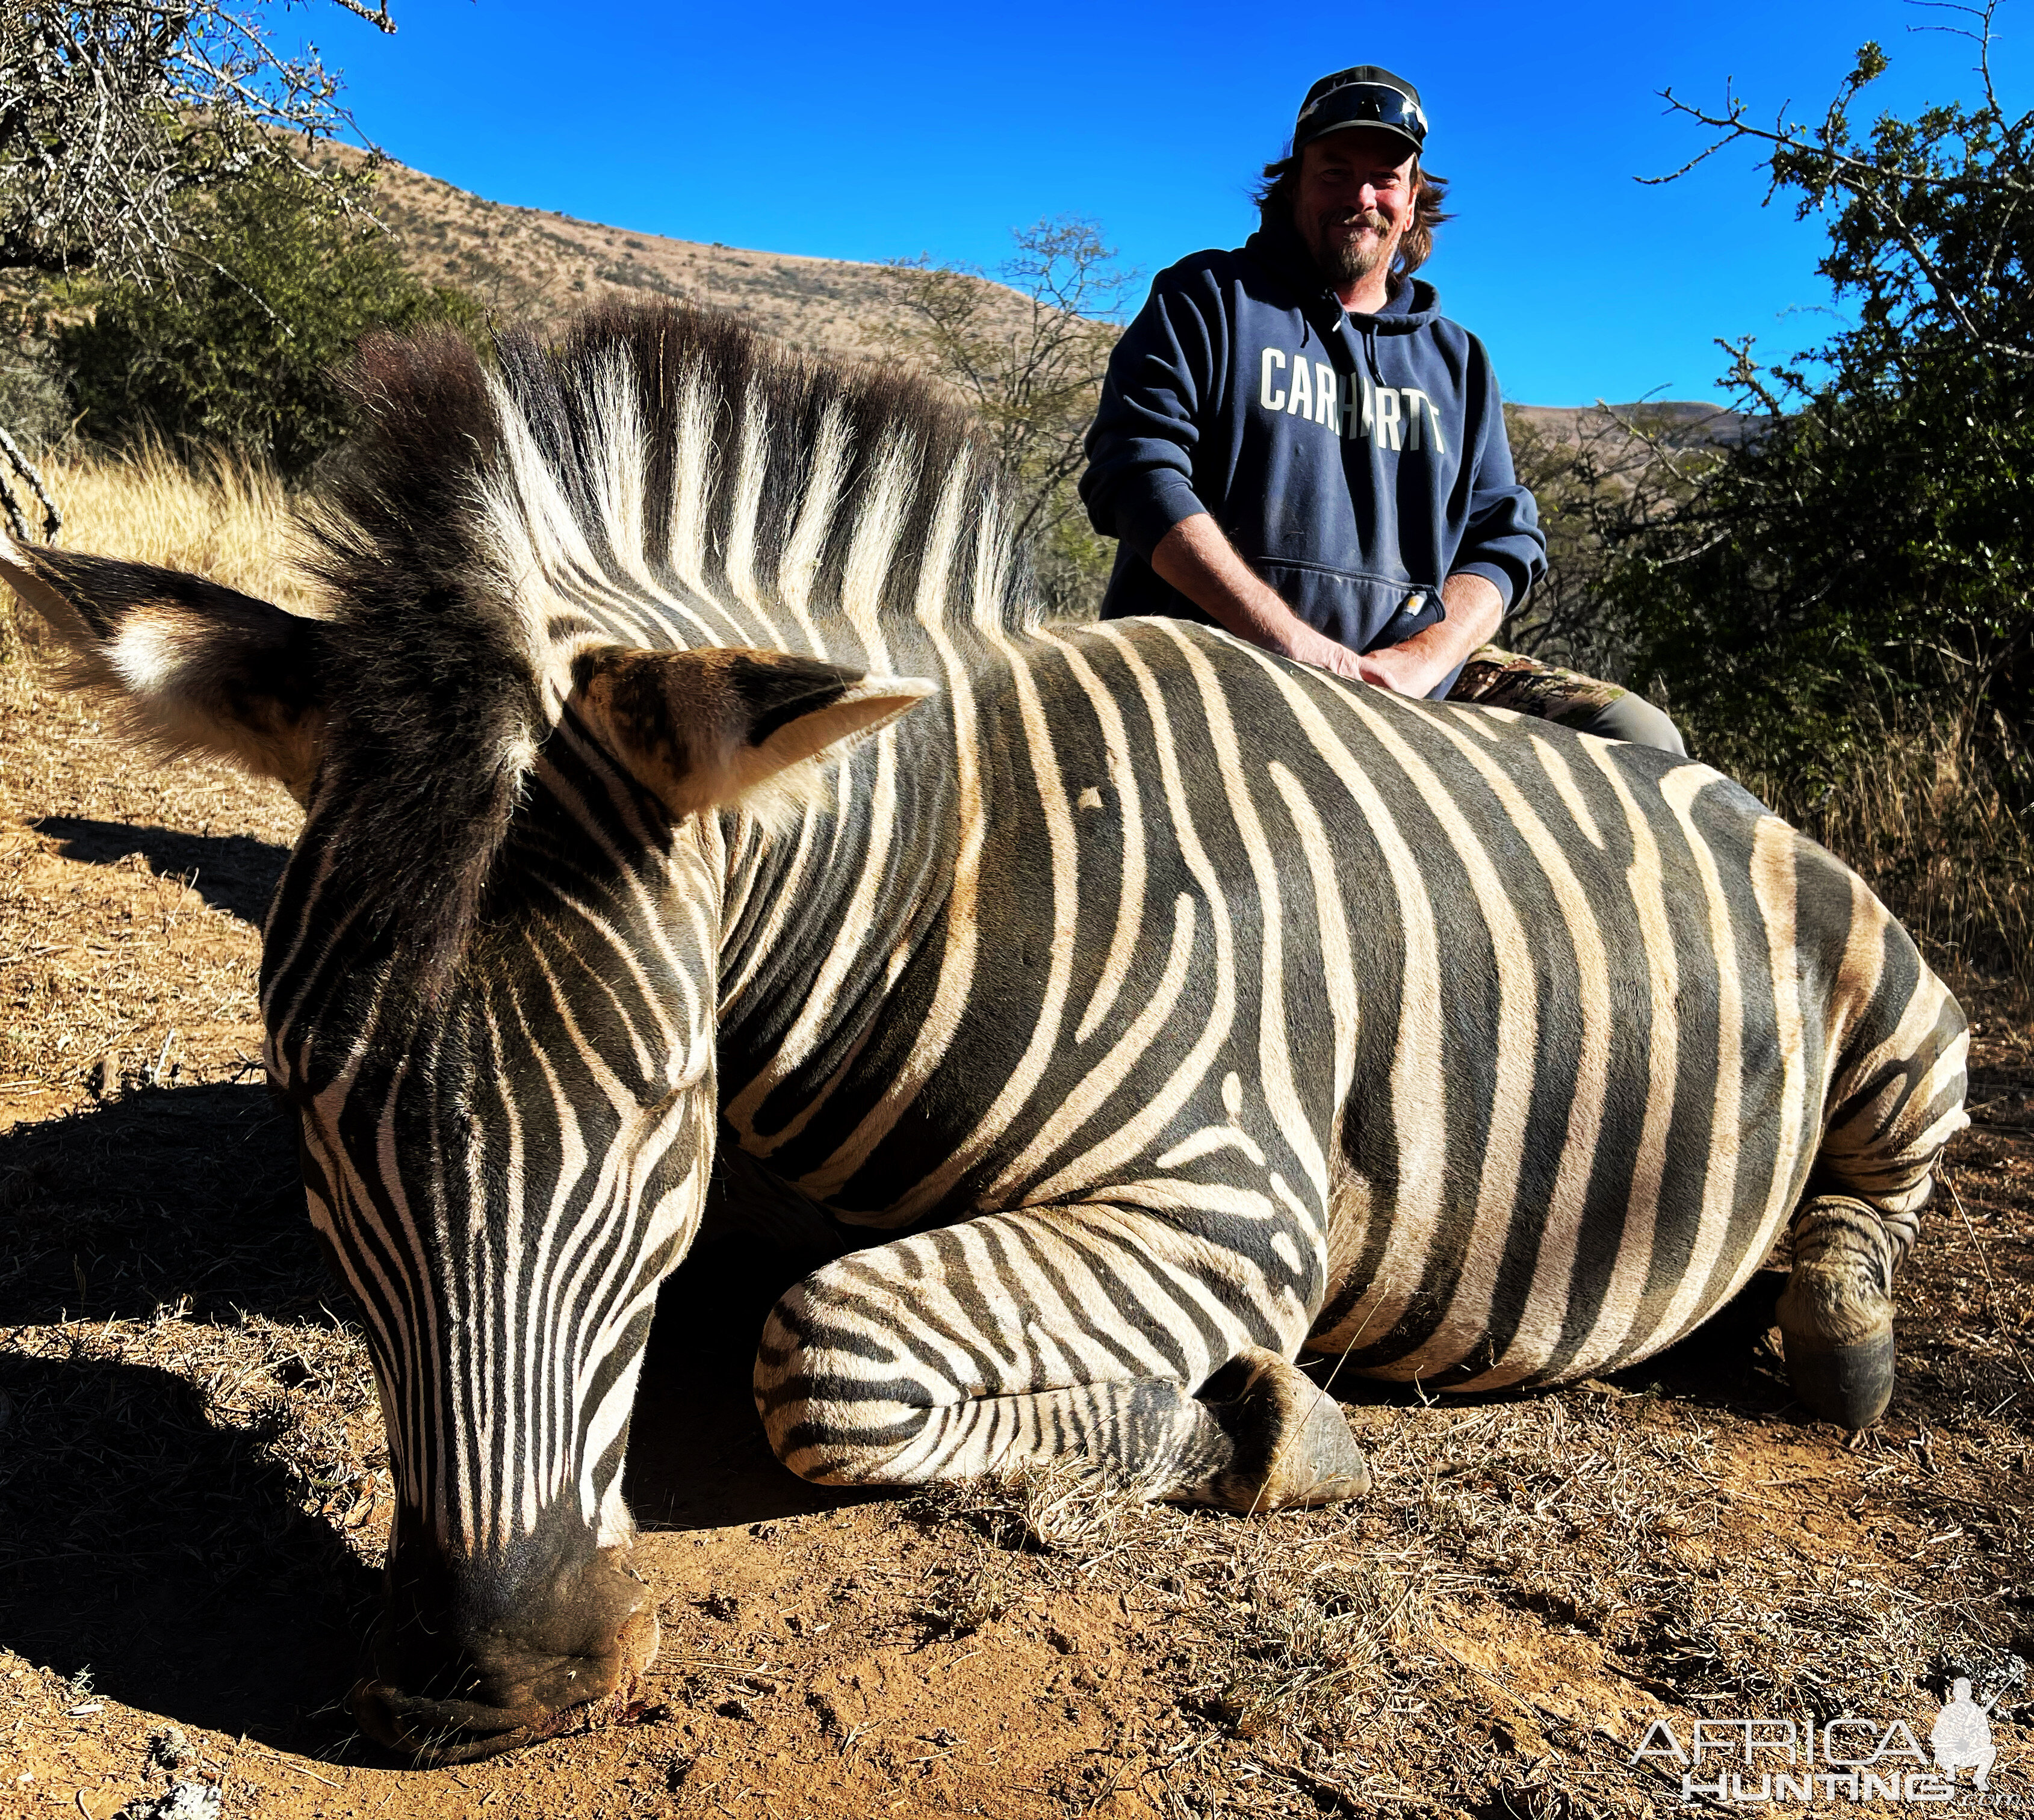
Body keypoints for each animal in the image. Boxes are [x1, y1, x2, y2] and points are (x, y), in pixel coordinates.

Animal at [0, 303, 1968, 1765]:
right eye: (308, 1111)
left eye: (656, 1109)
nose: (496, 1685)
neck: (924, 884)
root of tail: (1713, 773)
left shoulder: (1230, 1206)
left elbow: (822, 1352)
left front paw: (1262, 1430)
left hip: (1897, 1009)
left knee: (1877, 1200)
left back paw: (1831, 1325)